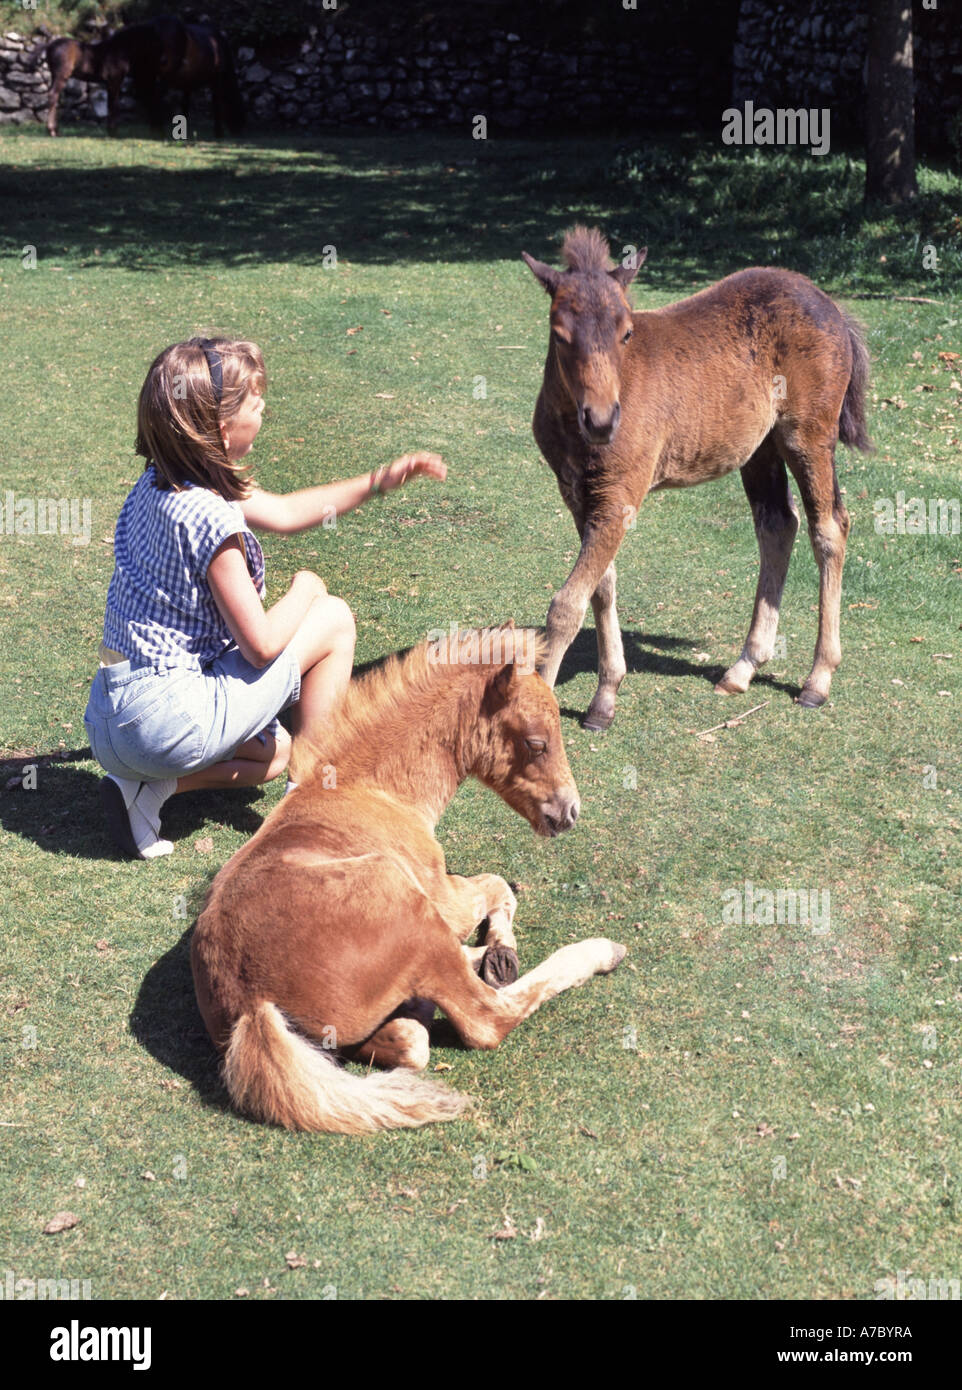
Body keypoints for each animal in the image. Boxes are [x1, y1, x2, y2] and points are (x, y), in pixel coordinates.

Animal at [33, 13, 244, 136]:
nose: (239, 127)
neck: (119, 50)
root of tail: (49, 46)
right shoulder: (114, 80)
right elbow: (114, 104)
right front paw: (113, 131)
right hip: (61, 77)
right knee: (52, 97)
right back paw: (53, 131)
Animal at [525, 227, 873, 728]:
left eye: (626, 332)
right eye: (559, 334)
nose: (603, 420)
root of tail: (832, 307)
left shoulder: (620, 496)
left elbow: (567, 604)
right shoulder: (579, 495)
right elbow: (602, 588)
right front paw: (604, 699)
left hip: (808, 435)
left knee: (829, 527)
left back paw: (817, 680)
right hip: (760, 448)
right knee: (778, 524)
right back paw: (743, 668)